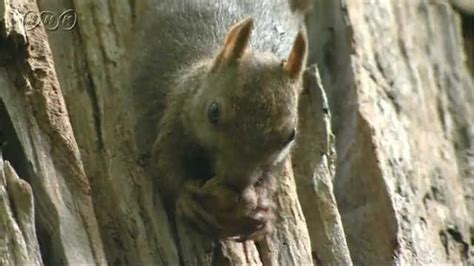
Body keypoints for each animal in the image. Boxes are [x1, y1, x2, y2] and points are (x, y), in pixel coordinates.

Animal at [132, 0, 312, 241]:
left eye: (290, 135)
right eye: (213, 111)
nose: (237, 182)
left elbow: (272, 176)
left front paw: (264, 211)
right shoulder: (176, 117)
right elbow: (163, 164)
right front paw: (187, 200)